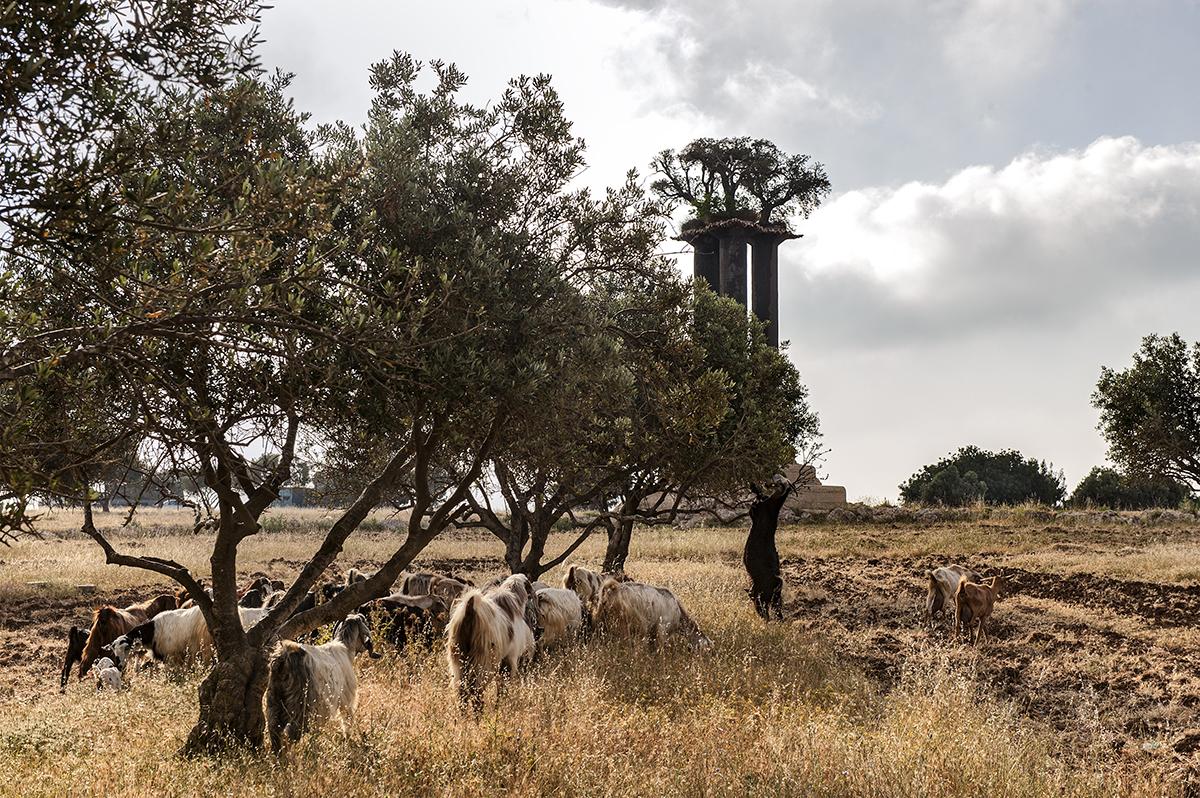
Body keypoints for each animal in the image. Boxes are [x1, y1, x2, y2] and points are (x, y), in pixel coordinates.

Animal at [267, 612, 379, 748]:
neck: (345, 648)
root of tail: (284, 657)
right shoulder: (346, 698)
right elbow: (347, 721)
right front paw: (348, 739)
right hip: (301, 705)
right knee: (293, 733)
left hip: (274, 702)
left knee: (275, 732)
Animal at [448, 568, 537, 710]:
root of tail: (470, 609)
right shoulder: (509, 659)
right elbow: (502, 688)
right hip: (482, 662)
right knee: (476, 693)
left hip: (458, 662)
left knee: (463, 694)